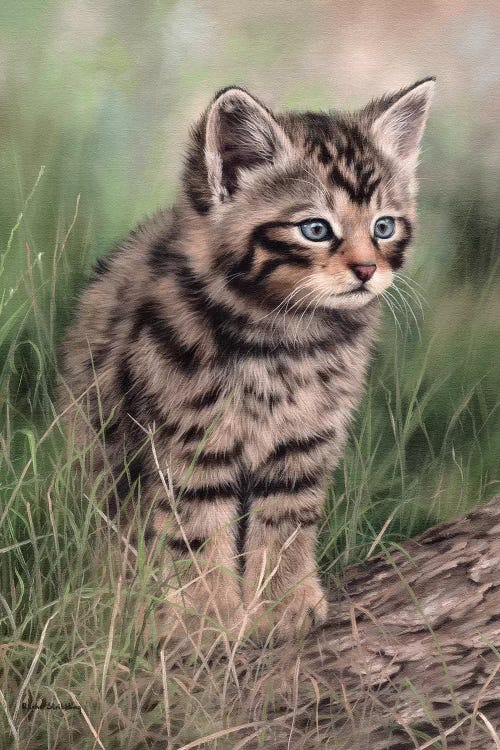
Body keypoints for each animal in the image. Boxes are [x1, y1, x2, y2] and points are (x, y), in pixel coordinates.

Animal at [58, 78, 434, 640]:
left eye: (384, 227)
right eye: (316, 229)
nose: (368, 269)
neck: (283, 340)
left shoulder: (303, 443)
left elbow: (286, 521)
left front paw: (282, 602)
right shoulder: (187, 442)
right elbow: (193, 530)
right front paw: (207, 614)